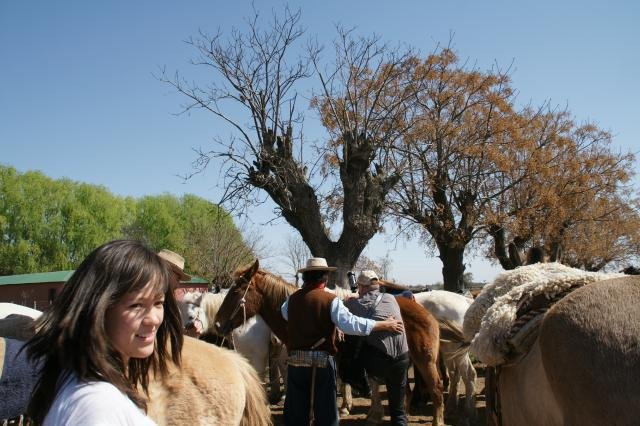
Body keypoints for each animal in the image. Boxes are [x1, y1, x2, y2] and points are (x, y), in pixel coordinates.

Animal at [412, 288, 478, 422]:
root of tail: (465, 300)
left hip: (455, 352)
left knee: (468, 375)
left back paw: (468, 413)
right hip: (451, 352)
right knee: (456, 375)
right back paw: (452, 408)